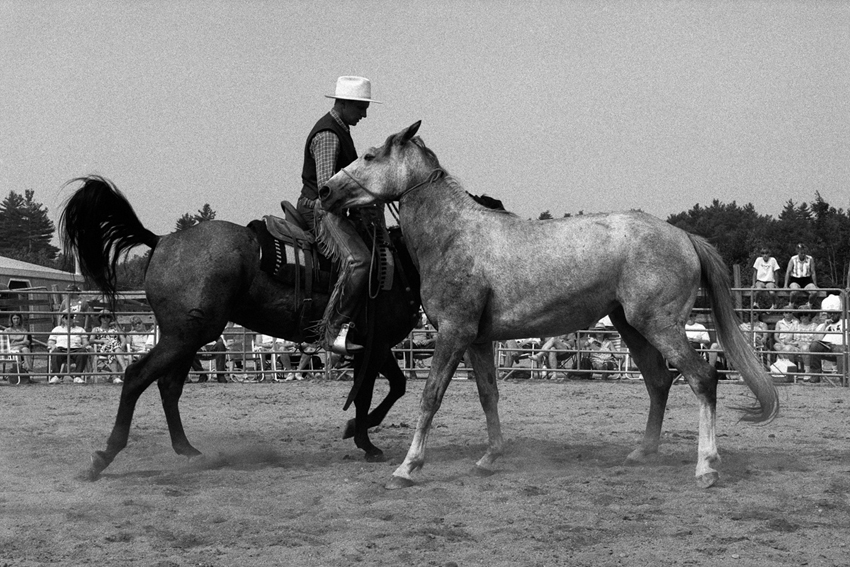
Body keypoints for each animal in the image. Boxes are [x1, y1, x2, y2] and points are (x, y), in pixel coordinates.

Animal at [60, 175, 423, 480]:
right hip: (184, 337)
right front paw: (365, 442)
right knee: (137, 377)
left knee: (168, 387)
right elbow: (366, 394)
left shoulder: (376, 347)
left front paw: (355, 431)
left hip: (187, 338)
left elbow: (397, 385)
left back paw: (187, 450)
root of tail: (161, 240)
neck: (396, 264)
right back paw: (104, 457)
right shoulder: (375, 345)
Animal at [319, 121, 780, 490]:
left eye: (369, 155)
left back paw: (706, 467)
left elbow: (430, 397)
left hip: (660, 326)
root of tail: (684, 237)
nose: (325, 190)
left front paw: (407, 468)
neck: (455, 238)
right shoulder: (478, 340)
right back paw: (642, 453)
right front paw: (490, 458)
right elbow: (488, 394)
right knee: (658, 382)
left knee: (702, 379)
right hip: (631, 326)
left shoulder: (453, 333)